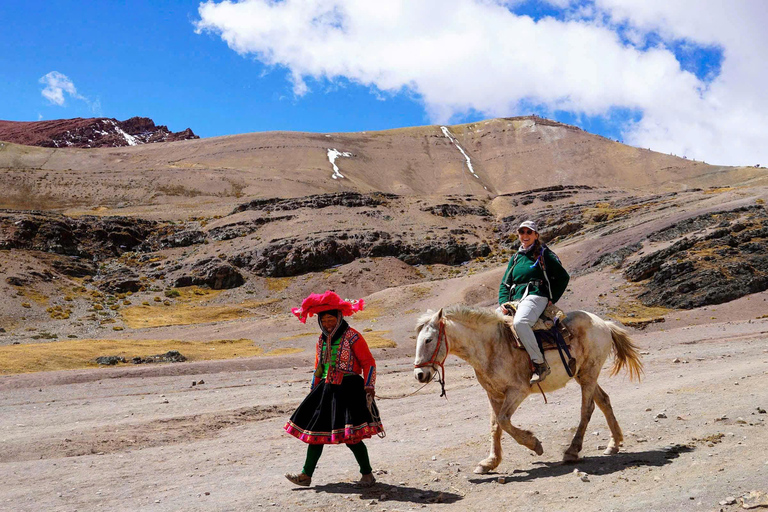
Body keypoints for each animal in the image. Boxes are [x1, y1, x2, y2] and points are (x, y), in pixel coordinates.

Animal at [414, 306, 640, 474]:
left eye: (428, 340)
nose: (420, 375)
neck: (491, 346)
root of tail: (604, 324)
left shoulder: (518, 391)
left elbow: (504, 421)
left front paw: (534, 444)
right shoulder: (493, 394)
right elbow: (495, 426)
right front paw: (490, 462)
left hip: (588, 375)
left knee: (587, 409)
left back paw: (572, 451)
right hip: (583, 375)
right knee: (604, 401)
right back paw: (614, 444)